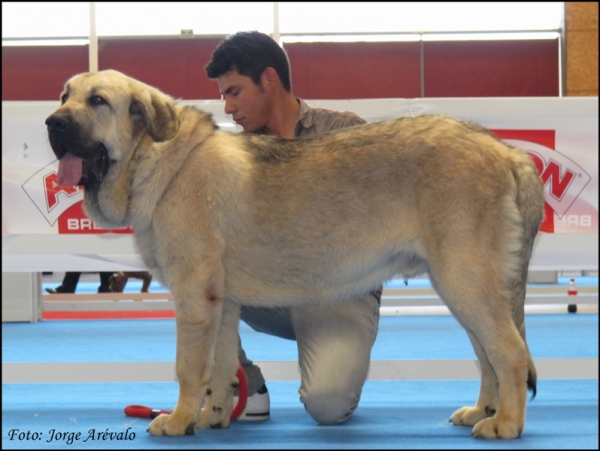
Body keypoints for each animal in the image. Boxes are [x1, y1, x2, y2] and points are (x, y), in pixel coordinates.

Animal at [47, 70, 544, 442]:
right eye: (64, 96)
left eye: (97, 101)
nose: (52, 123)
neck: (151, 157)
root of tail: (506, 151)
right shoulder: (221, 303)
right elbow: (220, 367)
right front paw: (213, 416)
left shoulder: (193, 298)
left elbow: (189, 367)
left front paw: (180, 419)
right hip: (464, 287)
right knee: (487, 354)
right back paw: (484, 410)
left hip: (465, 281)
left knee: (510, 352)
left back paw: (507, 424)